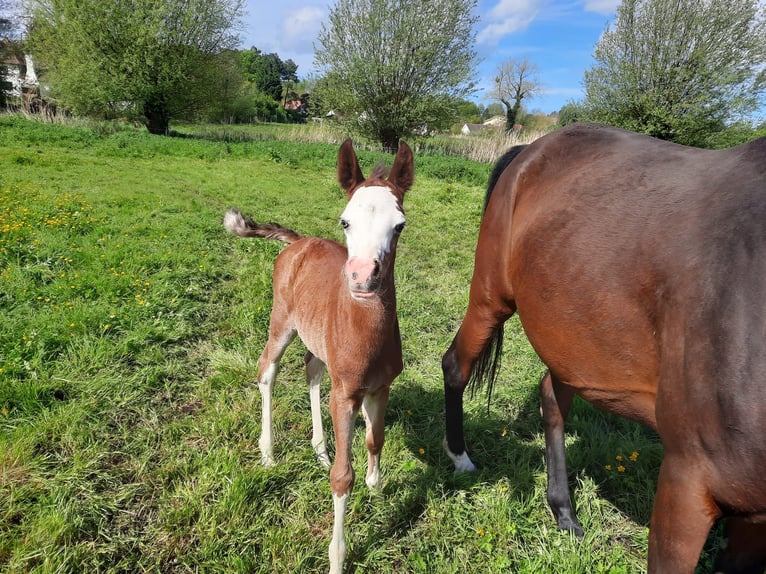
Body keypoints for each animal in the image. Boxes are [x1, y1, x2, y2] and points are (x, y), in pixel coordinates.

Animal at [224, 140, 414, 574]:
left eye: (399, 225)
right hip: (282, 321)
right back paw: (268, 453)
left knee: (311, 371)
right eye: (345, 222)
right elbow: (343, 477)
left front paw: (376, 488)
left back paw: (320, 449)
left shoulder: (380, 387)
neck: (366, 333)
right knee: (267, 370)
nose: (363, 277)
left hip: (317, 342)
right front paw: (338, 558)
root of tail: (297, 242)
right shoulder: (346, 395)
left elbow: (375, 440)